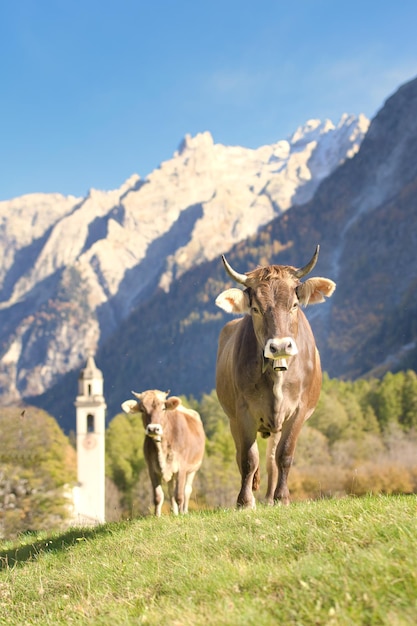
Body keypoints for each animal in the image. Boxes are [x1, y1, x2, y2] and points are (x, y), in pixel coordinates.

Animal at [120, 388, 205, 516]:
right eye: (142, 409)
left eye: (163, 408)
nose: (153, 429)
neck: (162, 447)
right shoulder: (152, 469)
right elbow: (158, 496)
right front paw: (157, 516)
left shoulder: (182, 468)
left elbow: (179, 495)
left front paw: (181, 515)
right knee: (171, 491)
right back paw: (174, 513)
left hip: (193, 469)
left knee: (187, 490)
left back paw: (183, 512)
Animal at [214, 245, 334, 508]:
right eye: (255, 308)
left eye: (295, 304)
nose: (279, 346)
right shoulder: (243, 411)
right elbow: (248, 458)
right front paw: (244, 501)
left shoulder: (299, 410)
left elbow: (285, 454)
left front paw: (282, 497)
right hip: (232, 418)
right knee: (245, 455)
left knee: (271, 458)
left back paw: (270, 497)